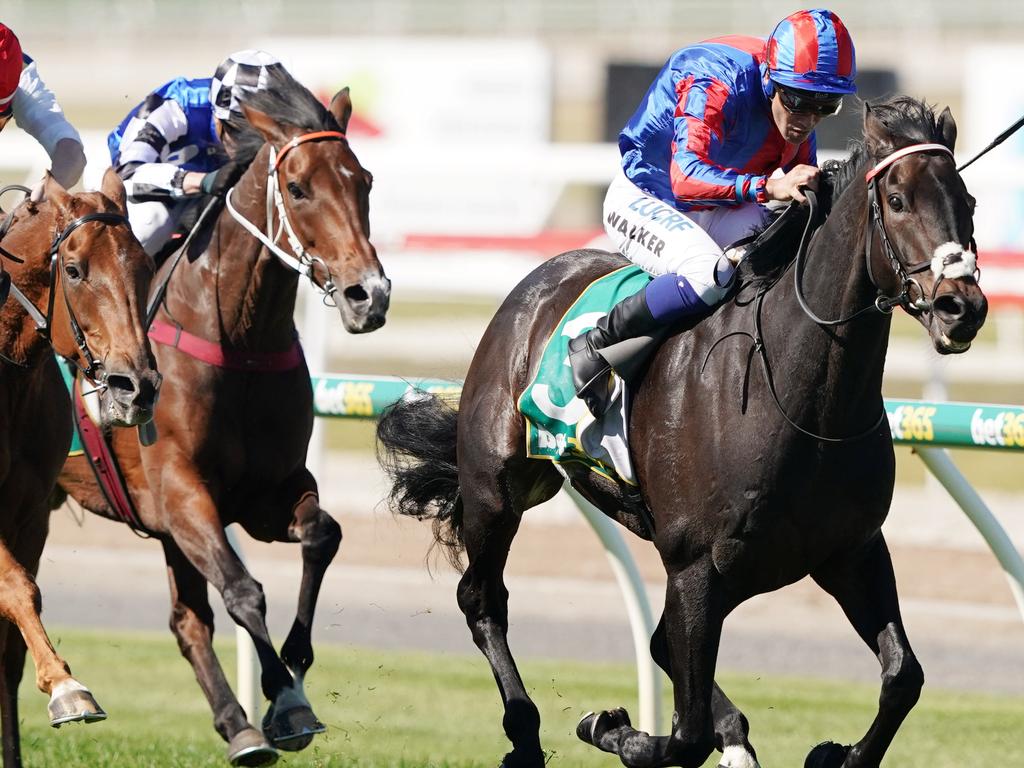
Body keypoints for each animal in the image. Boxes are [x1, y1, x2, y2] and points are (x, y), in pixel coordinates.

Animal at [0, 173, 158, 768]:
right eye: (73, 270)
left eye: (146, 265)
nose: (137, 387)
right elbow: (15, 589)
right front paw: (68, 688)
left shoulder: (30, 515)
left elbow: (12, 630)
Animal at [48, 69, 385, 765]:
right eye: (297, 187)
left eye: (364, 180)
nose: (370, 295)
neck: (237, 337)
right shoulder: (181, 492)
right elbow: (244, 590)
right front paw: (286, 702)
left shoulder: (267, 493)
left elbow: (323, 536)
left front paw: (284, 695)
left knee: (187, 621)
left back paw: (236, 722)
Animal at [380, 96, 987, 768]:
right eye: (899, 200)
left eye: (969, 201)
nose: (962, 307)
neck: (802, 404)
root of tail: (537, 282)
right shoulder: (697, 568)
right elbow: (684, 731)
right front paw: (614, 727)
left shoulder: (850, 550)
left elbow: (903, 676)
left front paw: (835, 753)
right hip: (496, 487)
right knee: (483, 599)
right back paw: (526, 734)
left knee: (657, 645)